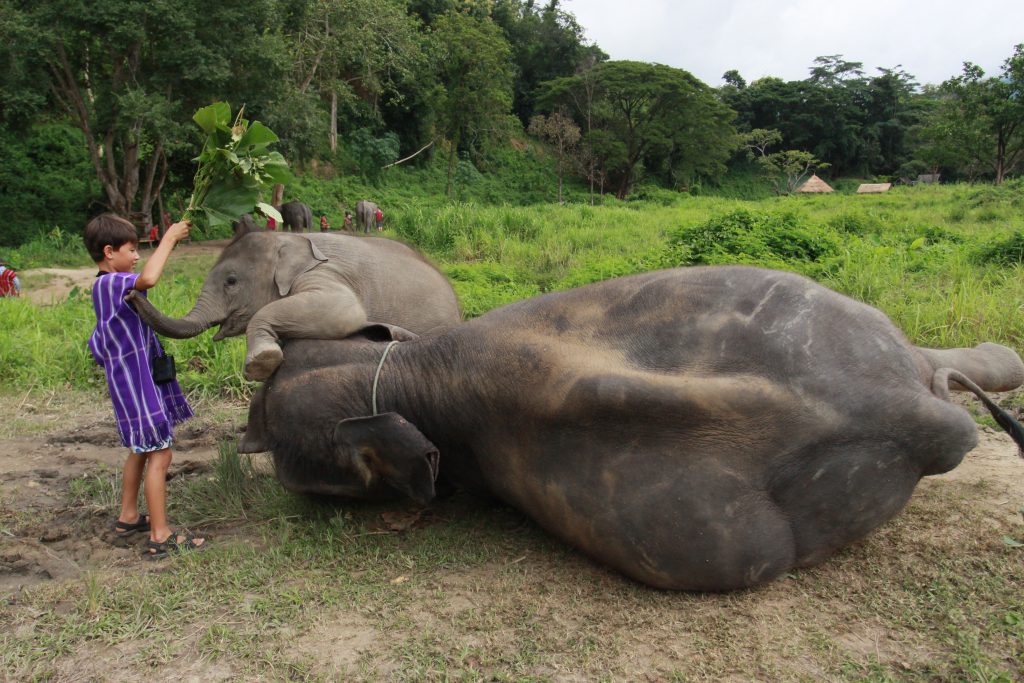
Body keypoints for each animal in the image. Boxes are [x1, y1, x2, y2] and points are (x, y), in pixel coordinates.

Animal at [126, 232, 460, 382]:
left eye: (231, 281)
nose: (131, 293)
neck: (287, 238)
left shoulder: (326, 272)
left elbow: (346, 310)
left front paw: (261, 363)